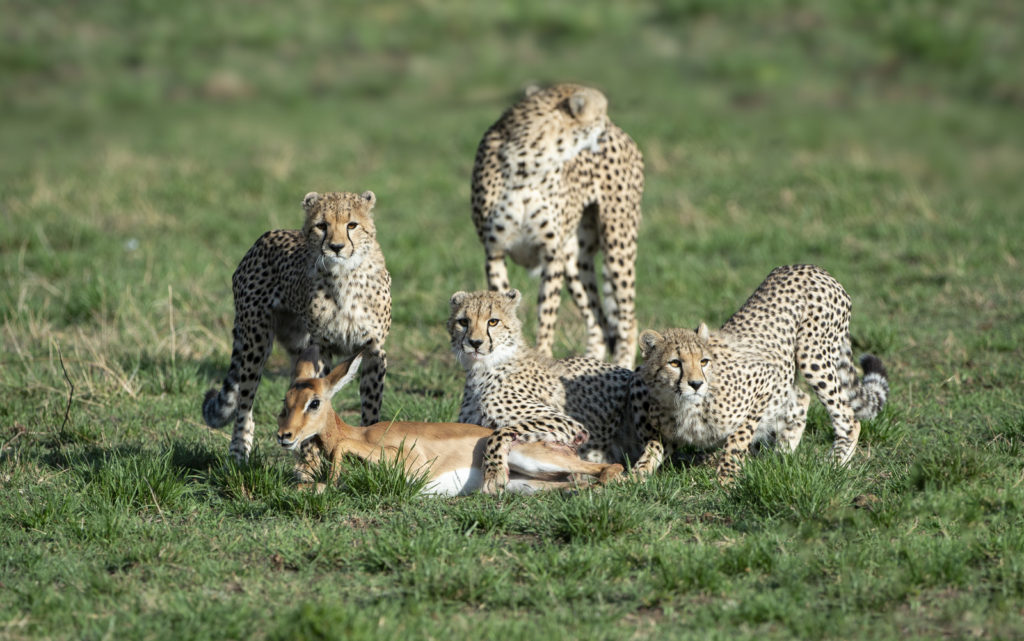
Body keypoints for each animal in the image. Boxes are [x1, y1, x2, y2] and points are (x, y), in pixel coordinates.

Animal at [201, 189, 389, 458]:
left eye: (352, 225)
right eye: (322, 226)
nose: (336, 247)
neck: (345, 277)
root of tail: (265, 236)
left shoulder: (373, 349)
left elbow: (370, 408)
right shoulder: (322, 347)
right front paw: (312, 456)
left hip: (296, 344)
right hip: (256, 340)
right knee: (245, 399)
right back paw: (239, 450)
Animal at [448, 286, 638, 491]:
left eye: (493, 321)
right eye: (463, 322)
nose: (475, 343)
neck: (483, 367)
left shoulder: (569, 423)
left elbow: (499, 432)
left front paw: (494, 474)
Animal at [468, 82, 638, 366]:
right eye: (601, 113)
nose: (608, 129)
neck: (526, 163)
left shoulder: (551, 254)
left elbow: (546, 315)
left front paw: (543, 355)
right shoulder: (494, 252)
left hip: (617, 243)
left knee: (627, 320)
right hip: (576, 260)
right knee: (598, 323)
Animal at [626, 264, 884, 479]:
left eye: (704, 361)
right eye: (675, 363)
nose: (696, 384)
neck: (682, 403)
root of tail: (812, 268)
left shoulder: (765, 380)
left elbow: (738, 437)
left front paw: (727, 477)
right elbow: (653, 447)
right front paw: (634, 476)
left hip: (812, 354)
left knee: (848, 417)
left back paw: (835, 464)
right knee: (801, 399)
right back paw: (782, 455)